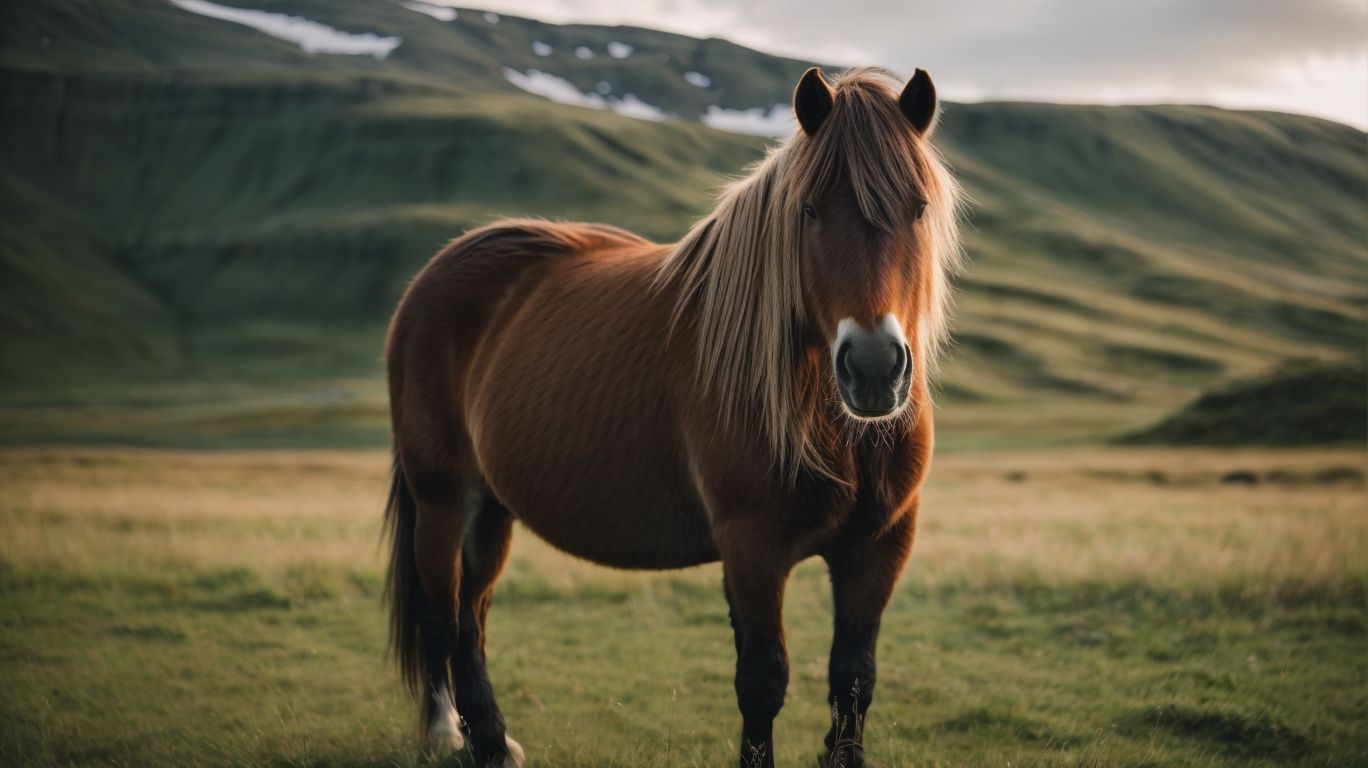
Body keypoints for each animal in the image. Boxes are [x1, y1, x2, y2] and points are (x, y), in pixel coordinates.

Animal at [383, 66, 962, 768]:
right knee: (442, 614)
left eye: (919, 208)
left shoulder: (880, 545)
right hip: (443, 497)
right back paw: (462, 736)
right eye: (810, 209)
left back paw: (490, 738)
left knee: (473, 614)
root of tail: (432, 277)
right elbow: (762, 682)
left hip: (491, 508)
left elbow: (853, 680)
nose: (875, 367)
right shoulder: (751, 545)